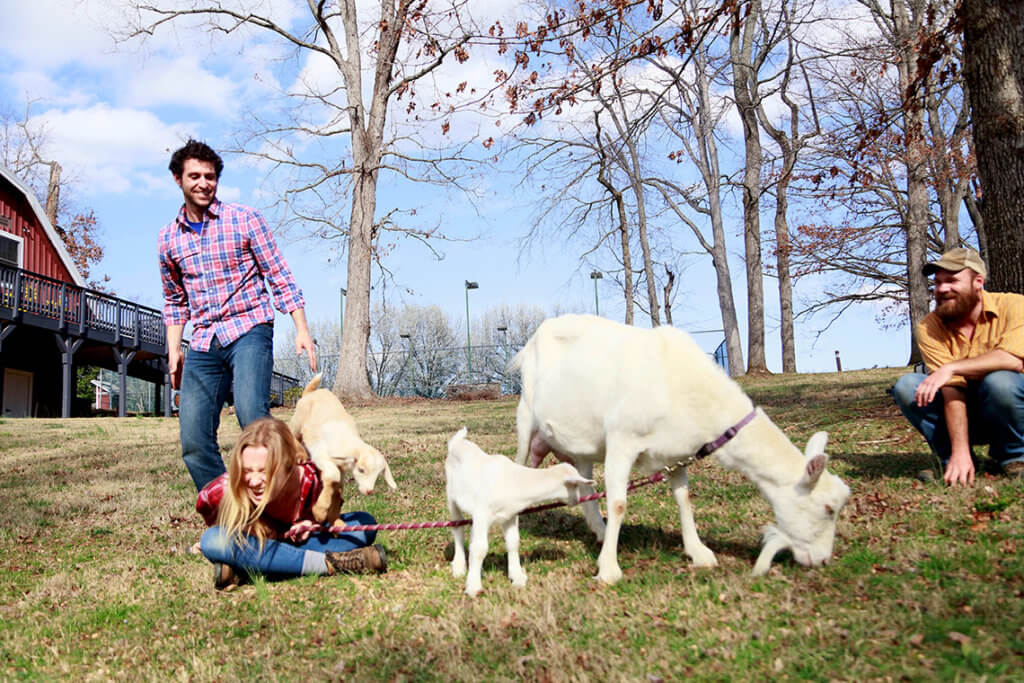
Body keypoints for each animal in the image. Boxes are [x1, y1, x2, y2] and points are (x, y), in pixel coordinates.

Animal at [446, 428, 598, 598]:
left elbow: (513, 542)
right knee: (457, 527)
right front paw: (473, 586)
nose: (577, 500)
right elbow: (479, 548)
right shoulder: (481, 514)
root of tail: (457, 442)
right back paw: (459, 566)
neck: (514, 480)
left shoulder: (510, 515)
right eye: (576, 485)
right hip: (451, 497)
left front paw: (517, 576)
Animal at [507, 315, 851, 581]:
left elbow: (684, 499)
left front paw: (699, 553)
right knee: (521, 464)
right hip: (525, 418)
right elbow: (618, 504)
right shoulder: (622, 438)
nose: (822, 560)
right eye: (828, 508)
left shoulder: (676, 451)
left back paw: (601, 532)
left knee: (584, 480)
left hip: (582, 444)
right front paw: (608, 570)